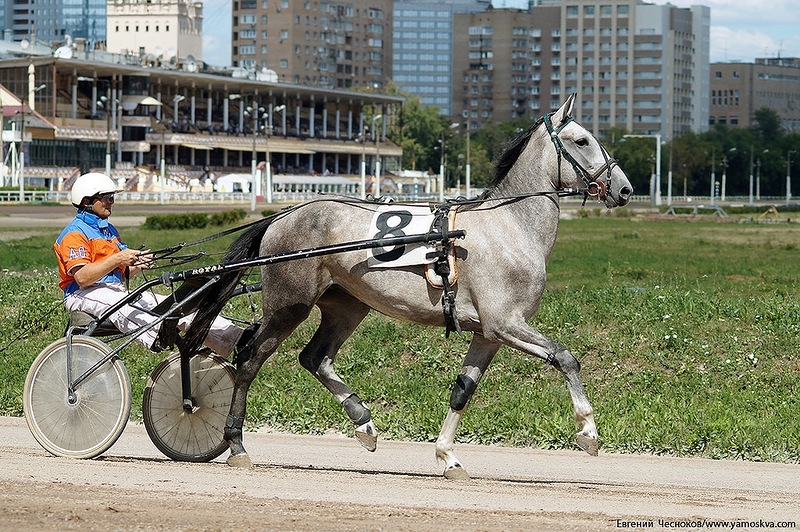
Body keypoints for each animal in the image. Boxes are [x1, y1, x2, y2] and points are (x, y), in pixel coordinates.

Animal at [186, 94, 632, 478]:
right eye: (582, 140)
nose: (625, 189)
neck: (510, 226)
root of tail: (282, 215)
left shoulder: (489, 333)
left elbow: (463, 390)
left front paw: (448, 456)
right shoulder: (506, 323)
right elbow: (565, 358)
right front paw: (588, 432)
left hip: (347, 305)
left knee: (315, 358)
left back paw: (363, 422)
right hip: (288, 304)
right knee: (249, 358)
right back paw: (236, 444)